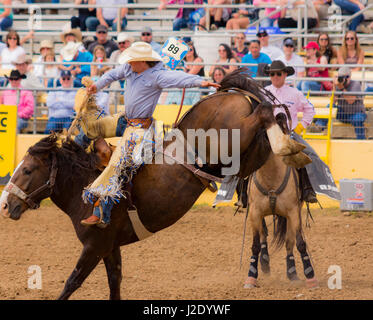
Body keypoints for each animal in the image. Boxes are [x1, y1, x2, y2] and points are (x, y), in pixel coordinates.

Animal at [0, 69, 308, 298]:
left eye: (27, 170)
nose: (5, 205)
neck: (84, 187)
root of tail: (224, 92)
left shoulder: (94, 246)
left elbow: (72, 282)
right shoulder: (111, 248)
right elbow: (115, 283)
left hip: (235, 139)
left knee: (265, 111)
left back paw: (287, 144)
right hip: (245, 156)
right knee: (271, 121)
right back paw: (292, 147)